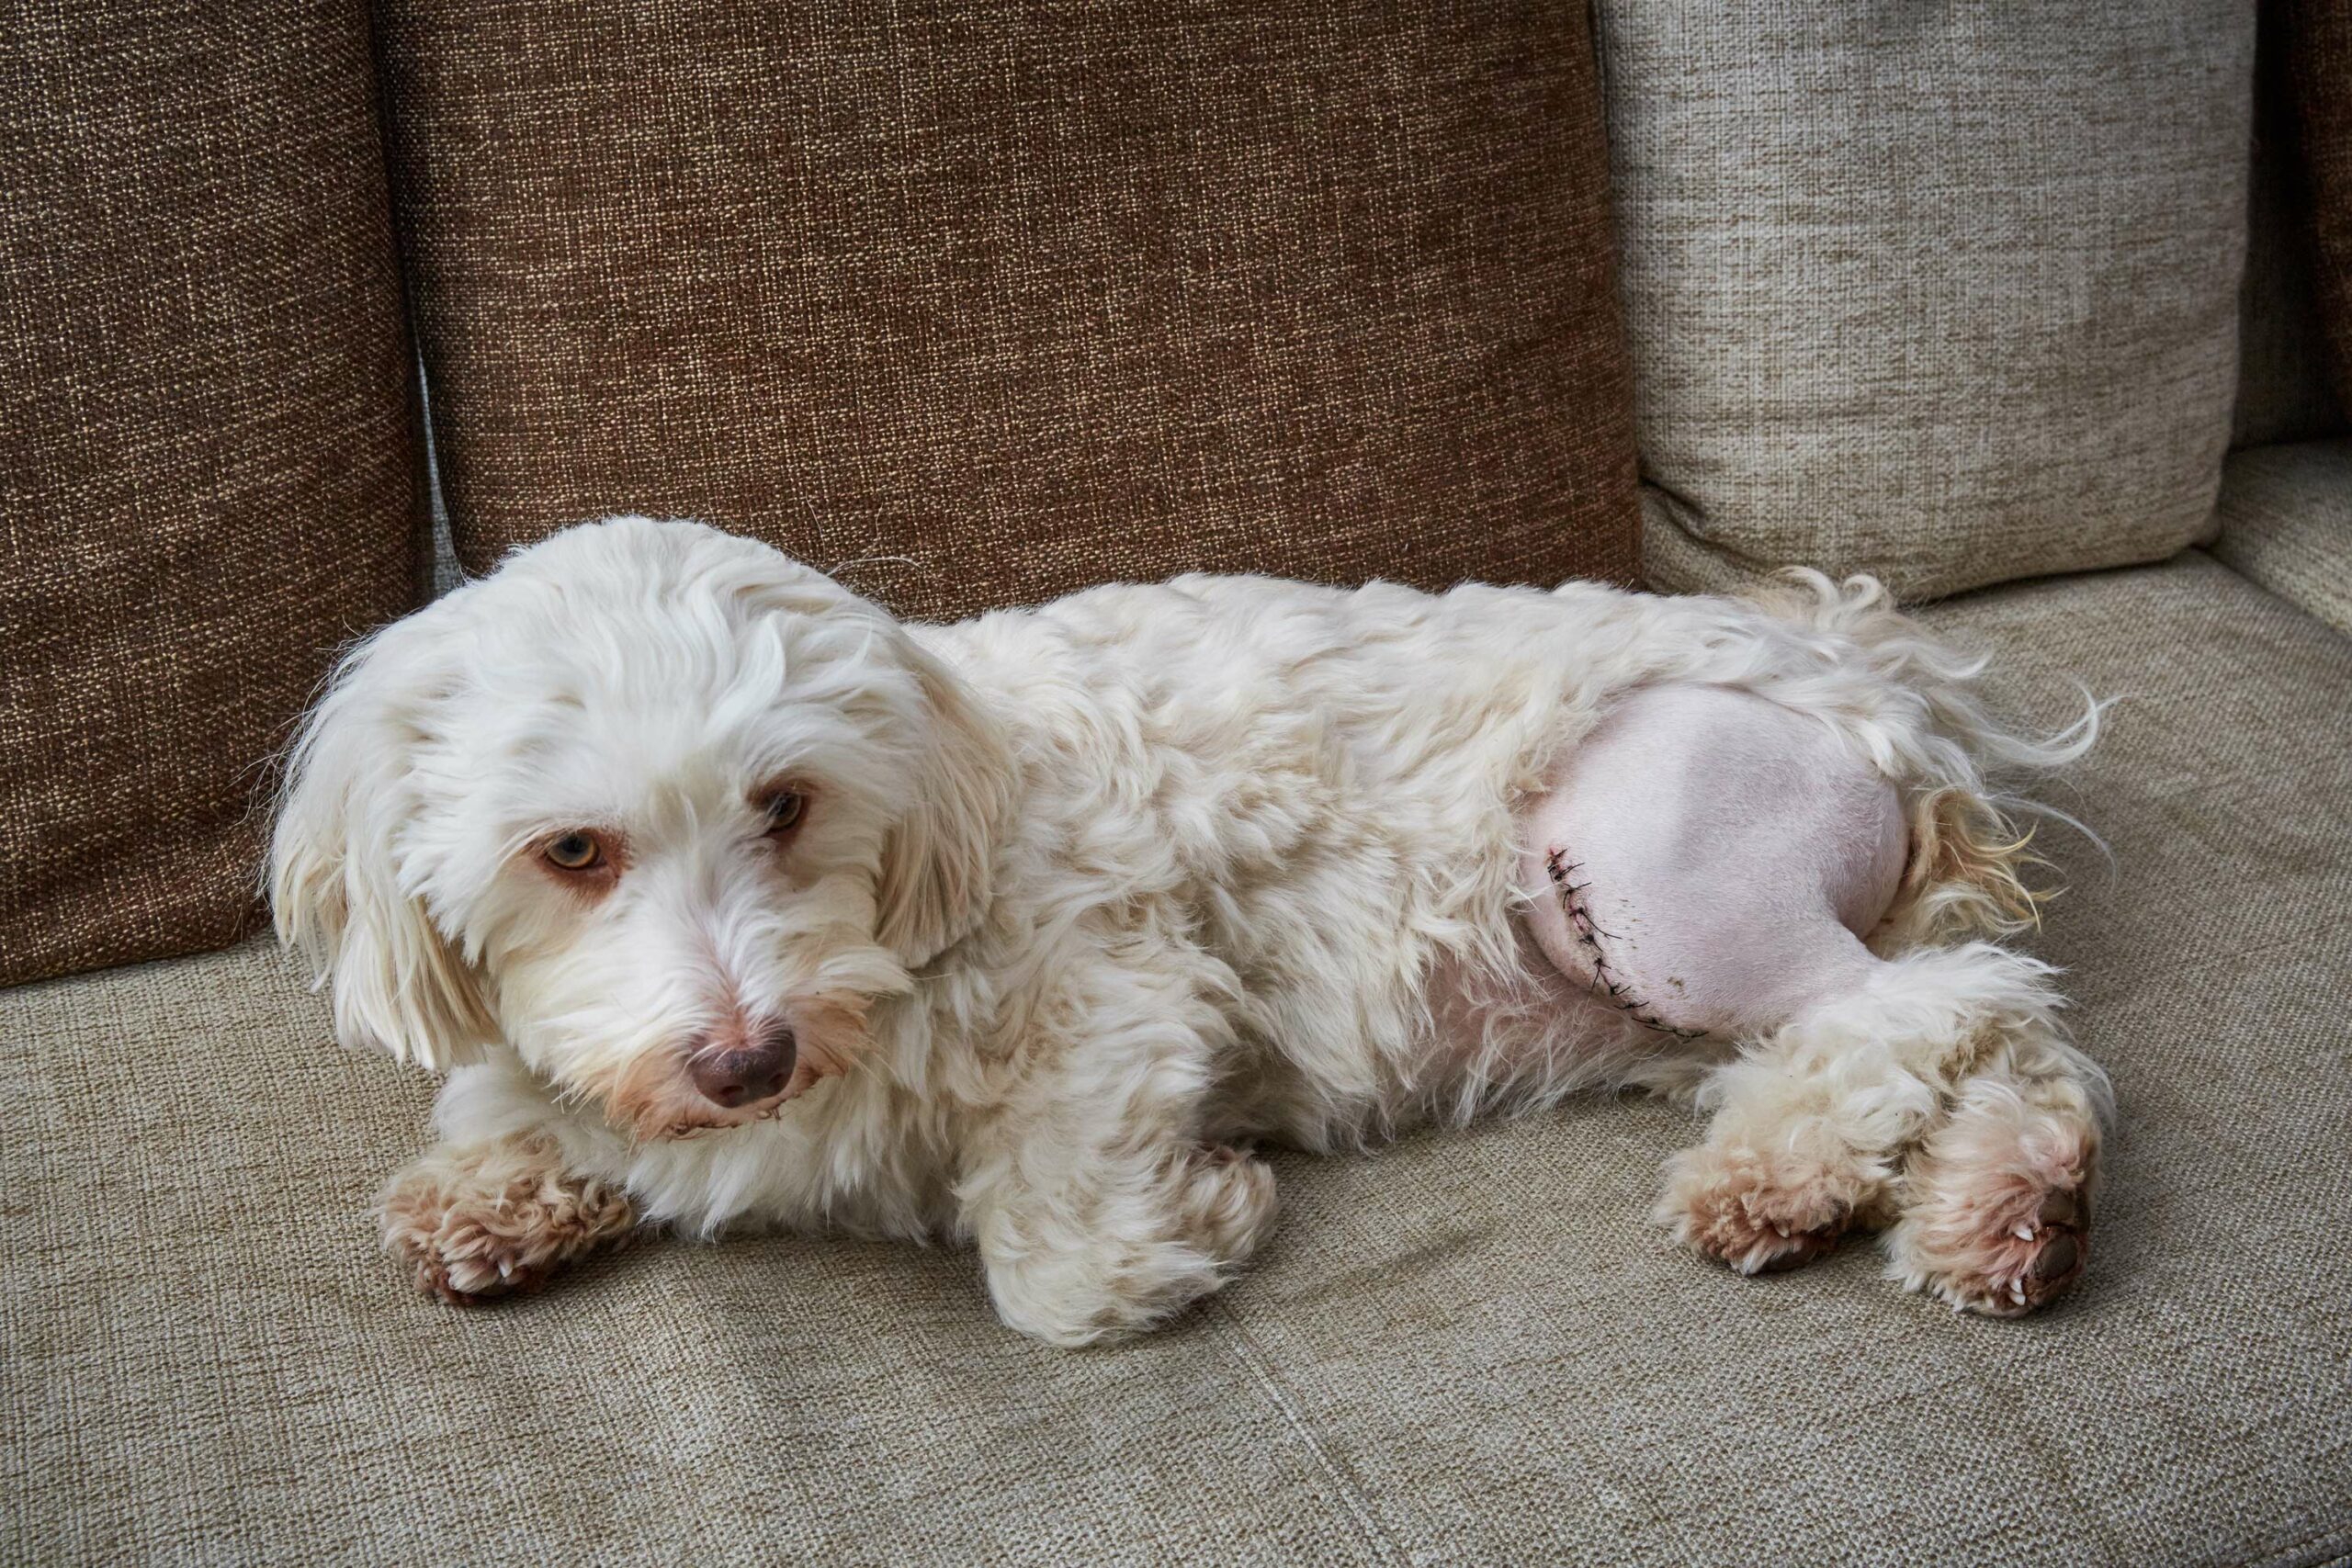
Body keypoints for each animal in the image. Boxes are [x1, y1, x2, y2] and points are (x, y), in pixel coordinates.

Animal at [266, 517, 2107, 1354]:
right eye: (570, 850)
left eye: (785, 802)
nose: (745, 1055)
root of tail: (1861, 663)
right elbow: (522, 1104)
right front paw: (494, 1192)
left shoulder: (1119, 1003)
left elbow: (1056, 1269)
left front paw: (1196, 1218)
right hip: (1671, 994)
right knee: (1996, 1030)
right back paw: (2006, 1207)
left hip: (1648, 863)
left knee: (1937, 994)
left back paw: (1784, 1180)